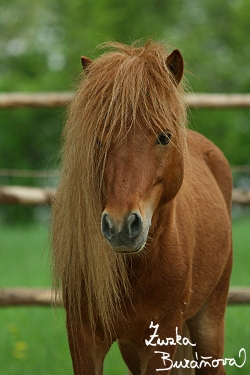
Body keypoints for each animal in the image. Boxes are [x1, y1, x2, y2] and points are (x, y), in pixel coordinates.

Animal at [51, 41, 233, 375]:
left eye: (163, 137)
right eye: (98, 140)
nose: (121, 227)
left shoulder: (162, 336)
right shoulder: (84, 336)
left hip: (210, 322)